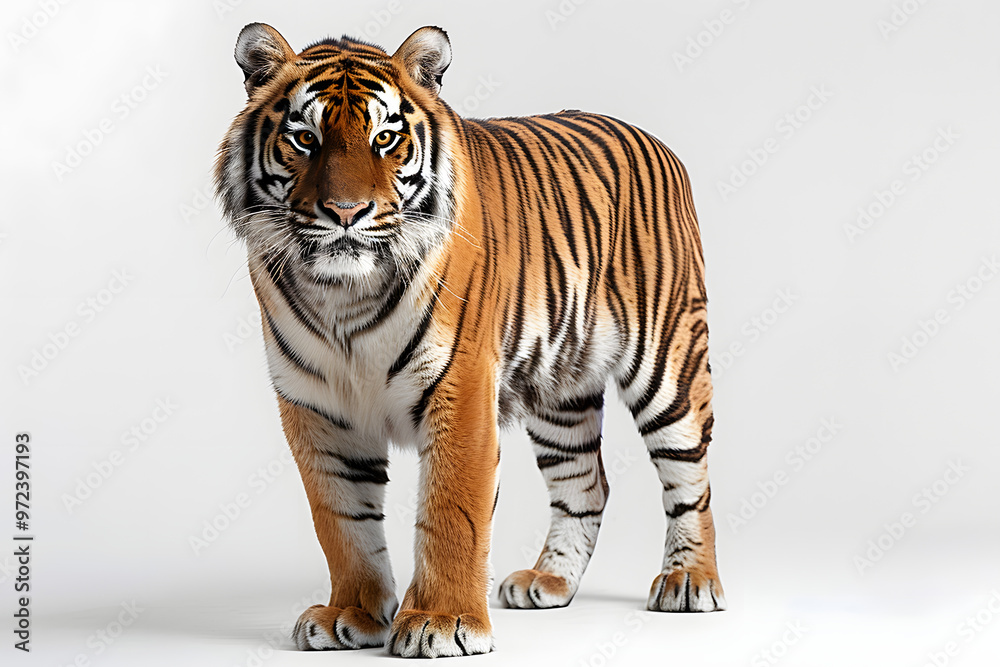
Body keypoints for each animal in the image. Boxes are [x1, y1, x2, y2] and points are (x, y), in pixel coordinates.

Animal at [214, 23, 726, 658]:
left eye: (385, 138)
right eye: (305, 139)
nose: (346, 212)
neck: (343, 295)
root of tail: (652, 139)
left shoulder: (460, 385)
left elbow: (451, 511)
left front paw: (441, 620)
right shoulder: (315, 407)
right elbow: (340, 520)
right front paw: (351, 614)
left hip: (668, 364)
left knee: (691, 477)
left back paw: (690, 580)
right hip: (561, 388)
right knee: (587, 483)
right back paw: (550, 581)